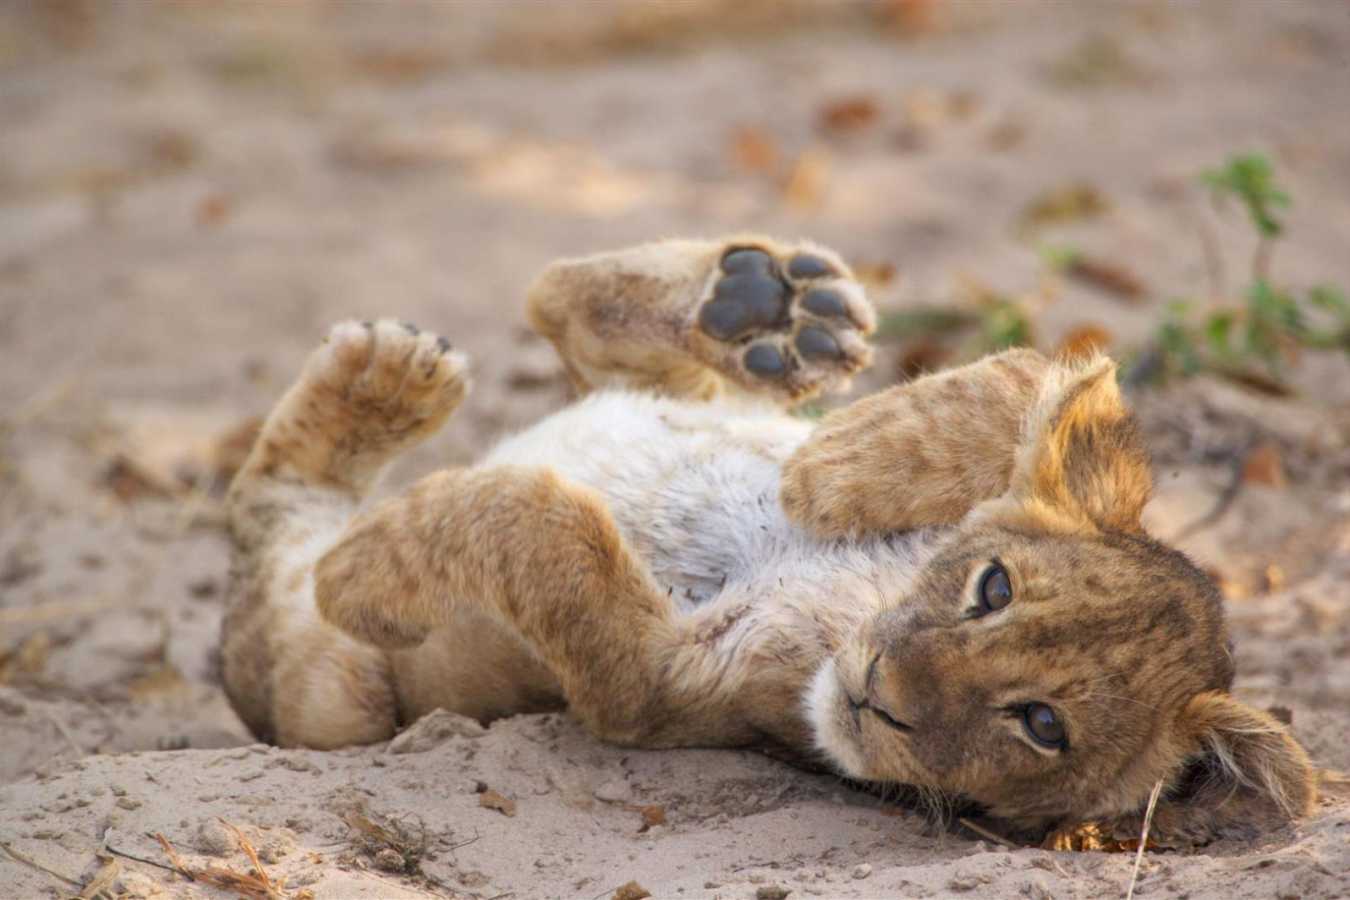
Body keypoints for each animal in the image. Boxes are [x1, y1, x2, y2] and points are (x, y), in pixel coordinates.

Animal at [219, 235, 1314, 841]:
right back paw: (773, 308)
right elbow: (1021, 377)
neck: (858, 601)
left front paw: (367, 572)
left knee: (266, 536)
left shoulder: (645, 688)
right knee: (560, 302)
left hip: (340, 697)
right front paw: (834, 467)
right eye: (993, 589)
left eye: (1043, 725)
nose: (879, 693)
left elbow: (547, 530)